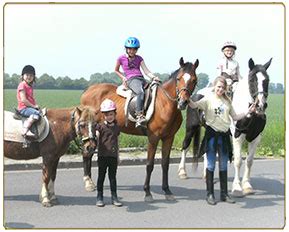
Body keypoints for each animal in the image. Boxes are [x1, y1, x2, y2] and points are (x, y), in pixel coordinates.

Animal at [80, 57, 198, 200]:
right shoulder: (153, 138)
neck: (165, 104)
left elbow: (165, 164)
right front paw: (147, 192)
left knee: (89, 153)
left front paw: (167, 190)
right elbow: (149, 164)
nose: (183, 102)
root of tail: (87, 90)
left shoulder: (169, 138)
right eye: (179, 78)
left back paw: (90, 182)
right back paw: (88, 183)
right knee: (86, 153)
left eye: (194, 80)